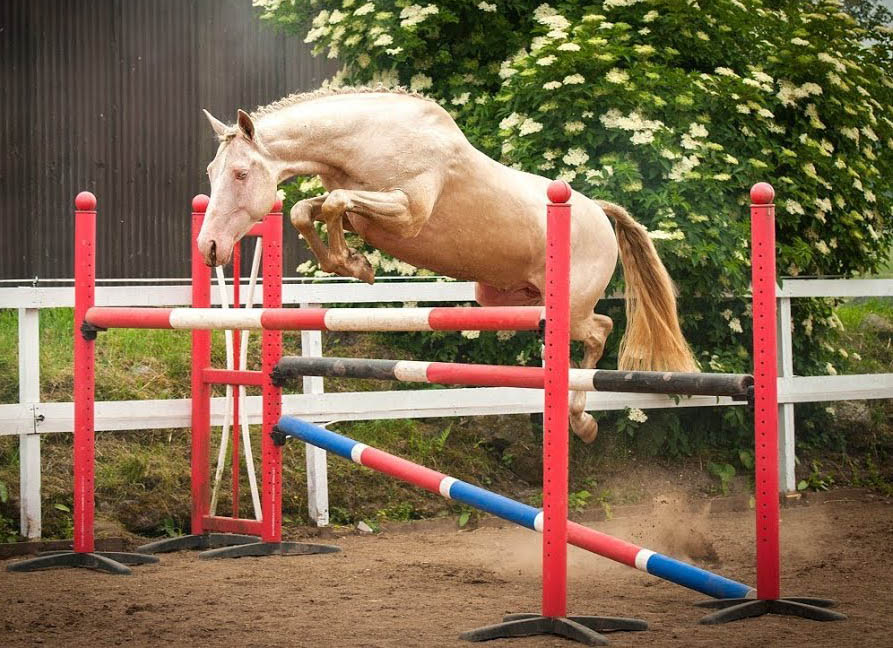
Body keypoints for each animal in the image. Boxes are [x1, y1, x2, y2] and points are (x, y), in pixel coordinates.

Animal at [197, 87, 696, 440]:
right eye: (210, 173)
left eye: (241, 174)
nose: (210, 247)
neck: (367, 140)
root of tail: (598, 212)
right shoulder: (358, 208)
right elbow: (309, 210)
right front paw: (353, 263)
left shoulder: (407, 212)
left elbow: (336, 202)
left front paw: (356, 264)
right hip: (506, 301)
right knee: (588, 328)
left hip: (568, 308)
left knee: (599, 330)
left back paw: (581, 422)